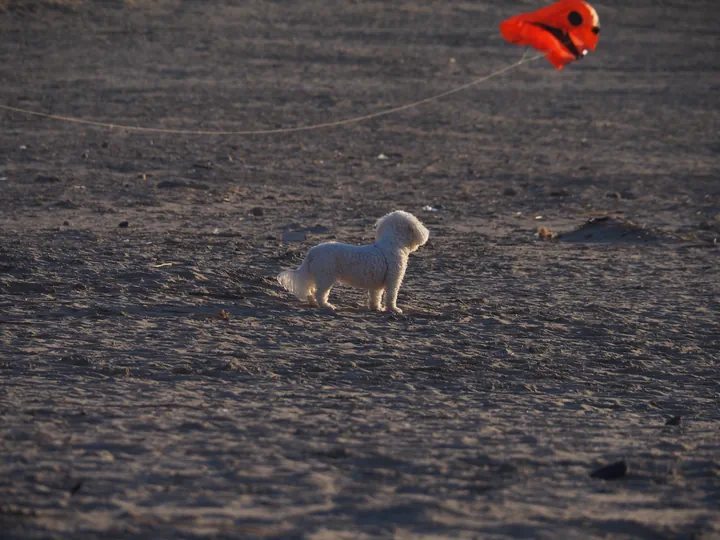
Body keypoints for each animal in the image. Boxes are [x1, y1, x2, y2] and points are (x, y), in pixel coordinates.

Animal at [278, 211, 428, 312]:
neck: (392, 244)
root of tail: (312, 251)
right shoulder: (393, 280)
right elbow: (391, 296)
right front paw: (393, 309)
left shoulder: (377, 284)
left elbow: (376, 296)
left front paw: (376, 308)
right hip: (326, 276)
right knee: (319, 293)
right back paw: (326, 306)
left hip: (318, 274)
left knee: (311, 291)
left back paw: (313, 304)